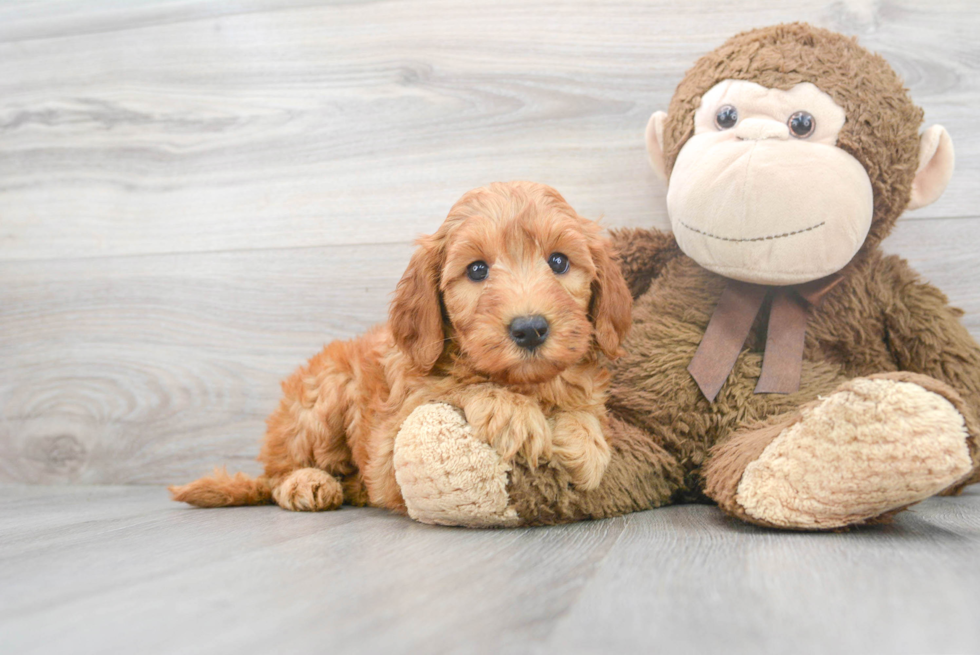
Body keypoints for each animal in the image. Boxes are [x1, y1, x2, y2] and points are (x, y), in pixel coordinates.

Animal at [171, 182, 632, 516]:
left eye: (559, 262)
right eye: (477, 270)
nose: (530, 329)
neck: (525, 382)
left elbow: (583, 407)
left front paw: (585, 439)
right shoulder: (390, 445)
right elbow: (455, 386)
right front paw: (511, 410)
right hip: (323, 394)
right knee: (277, 475)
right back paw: (307, 482)